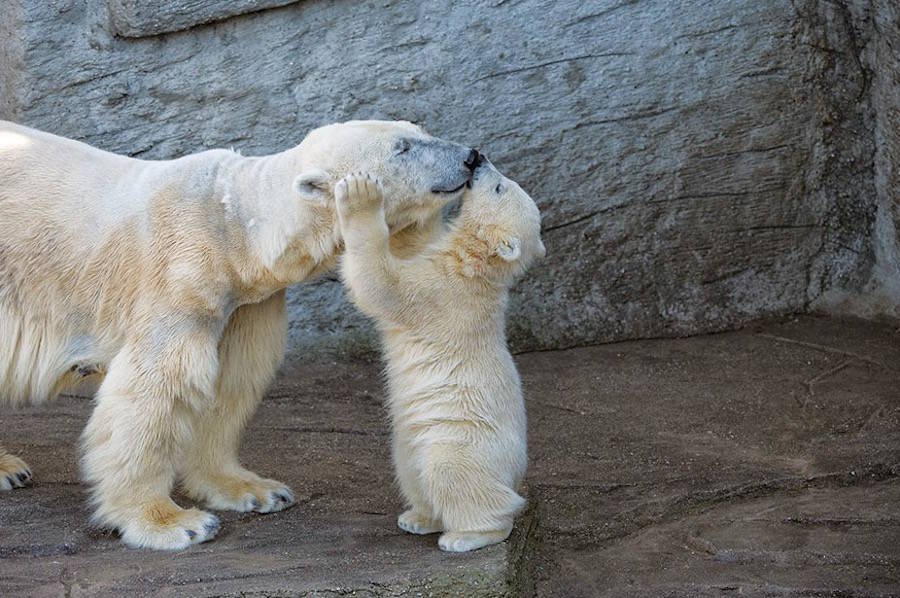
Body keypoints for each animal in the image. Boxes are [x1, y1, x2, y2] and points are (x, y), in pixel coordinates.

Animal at [0, 119, 478, 552]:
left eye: (419, 130)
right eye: (402, 148)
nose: (471, 156)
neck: (234, 228)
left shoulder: (245, 300)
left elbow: (231, 379)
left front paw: (255, 489)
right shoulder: (179, 276)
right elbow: (156, 388)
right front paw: (173, 522)